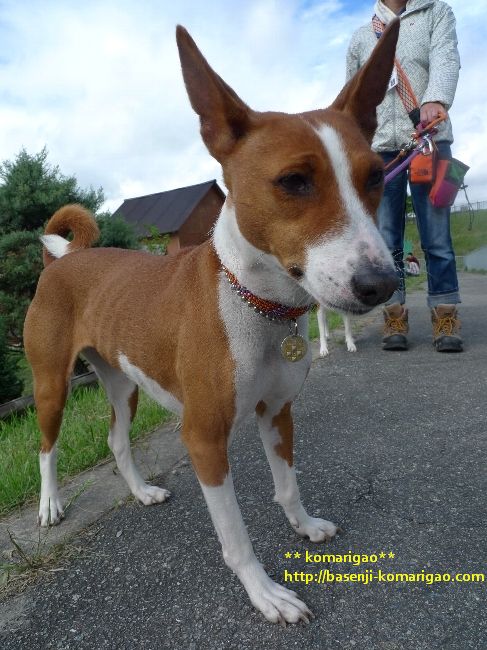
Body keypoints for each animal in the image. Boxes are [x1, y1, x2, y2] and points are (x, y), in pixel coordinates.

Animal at [24, 22, 399, 625]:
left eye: (375, 177)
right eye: (294, 181)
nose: (381, 284)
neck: (257, 306)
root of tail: (63, 259)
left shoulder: (278, 412)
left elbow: (288, 487)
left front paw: (303, 525)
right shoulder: (203, 439)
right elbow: (236, 536)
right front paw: (265, 592)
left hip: (123, 382)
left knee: (117, 440)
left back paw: (141, 491)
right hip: (51, 385)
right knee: (45, 448)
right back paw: (51, 503)